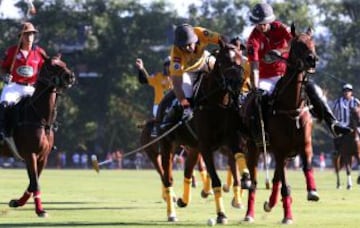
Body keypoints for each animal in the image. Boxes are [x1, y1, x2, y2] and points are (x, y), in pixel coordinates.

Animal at [0, 54, 75, 216]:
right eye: (51, 65)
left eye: (64, 63)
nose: (70, 76)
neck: (40, 118)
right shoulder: (30, 154)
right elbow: (35, 183)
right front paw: (40, 210)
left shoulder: (43, 156)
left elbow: (33, 182)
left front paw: (17, 202)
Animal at [243, 24, 320, 224]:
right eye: (298, 44)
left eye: (313, 43)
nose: (312, 60)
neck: (291, 106)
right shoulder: (279, 150)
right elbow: (284, 185)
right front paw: (288, 216)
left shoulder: (305, 144)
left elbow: (307, 166)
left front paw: (312, 191)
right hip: (253, 149)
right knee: (254, 182)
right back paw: (249, 214)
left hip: (284, 155)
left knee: (276, 178)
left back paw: (270, 203)